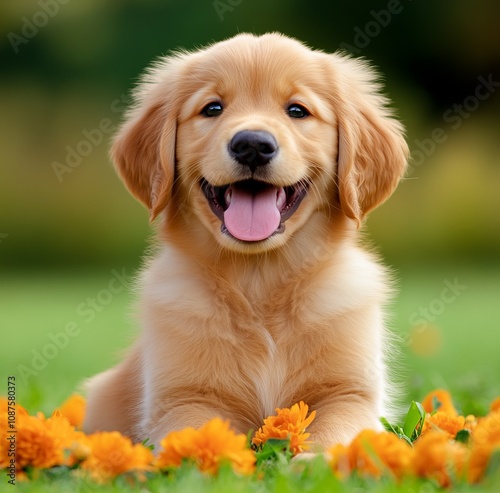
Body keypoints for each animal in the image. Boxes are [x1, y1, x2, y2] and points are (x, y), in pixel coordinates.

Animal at [84, 32, 408, 452]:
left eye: (297, 110)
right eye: (212, 108)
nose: (252, 144)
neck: (259, 281)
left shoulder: (350, 394)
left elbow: (334, 434)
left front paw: (310, 460)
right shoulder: (183, 398)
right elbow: (197, 435)